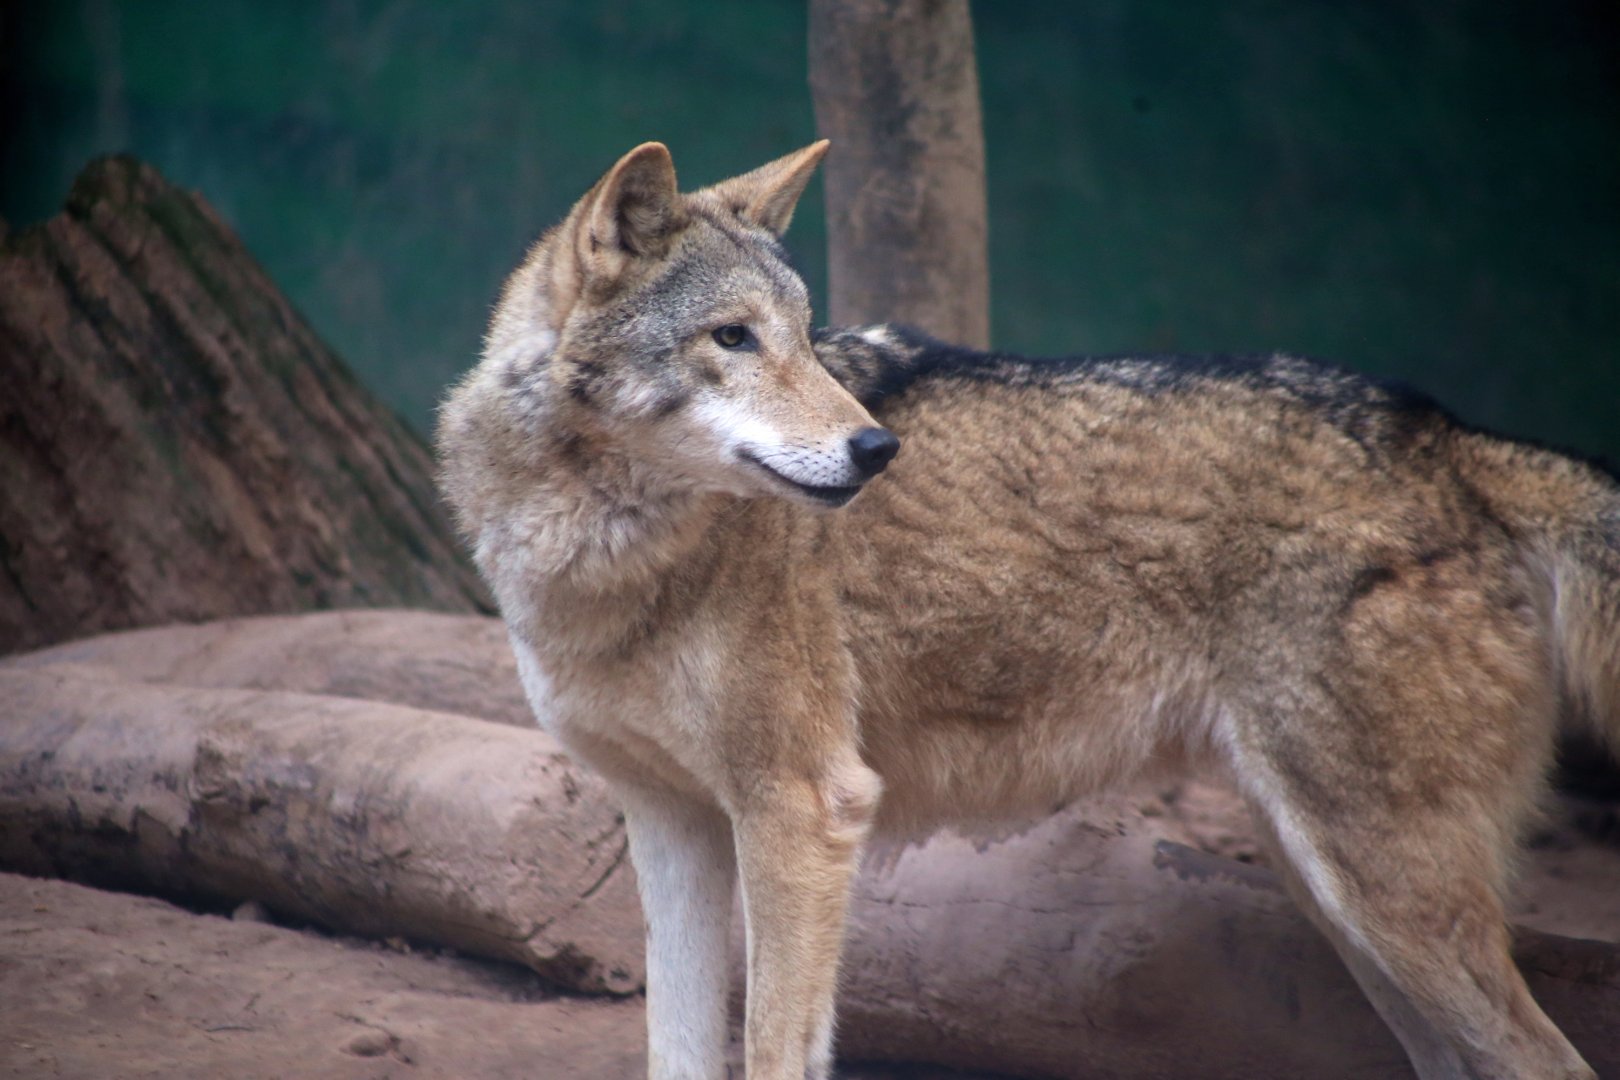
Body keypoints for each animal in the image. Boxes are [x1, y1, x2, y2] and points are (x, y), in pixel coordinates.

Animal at [437, 141, 1619, 1080]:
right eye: (732, 337)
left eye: (808, 338)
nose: (877, 449)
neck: (610, 547)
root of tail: (1451, 439)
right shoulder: (671, 823)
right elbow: (677, 1052)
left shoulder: (805, 812)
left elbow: (774, 1051)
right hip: (1345, 903)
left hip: (1383, 892)